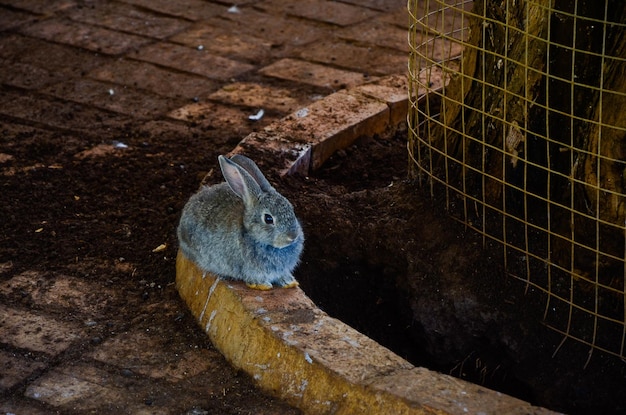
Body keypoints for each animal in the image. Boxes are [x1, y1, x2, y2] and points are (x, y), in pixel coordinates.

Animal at [177, 154, 304, 290]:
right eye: (268, 219)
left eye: (291, 209)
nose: (293, 236)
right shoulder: (251, 270)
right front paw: (263, 285)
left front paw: (289, 282)